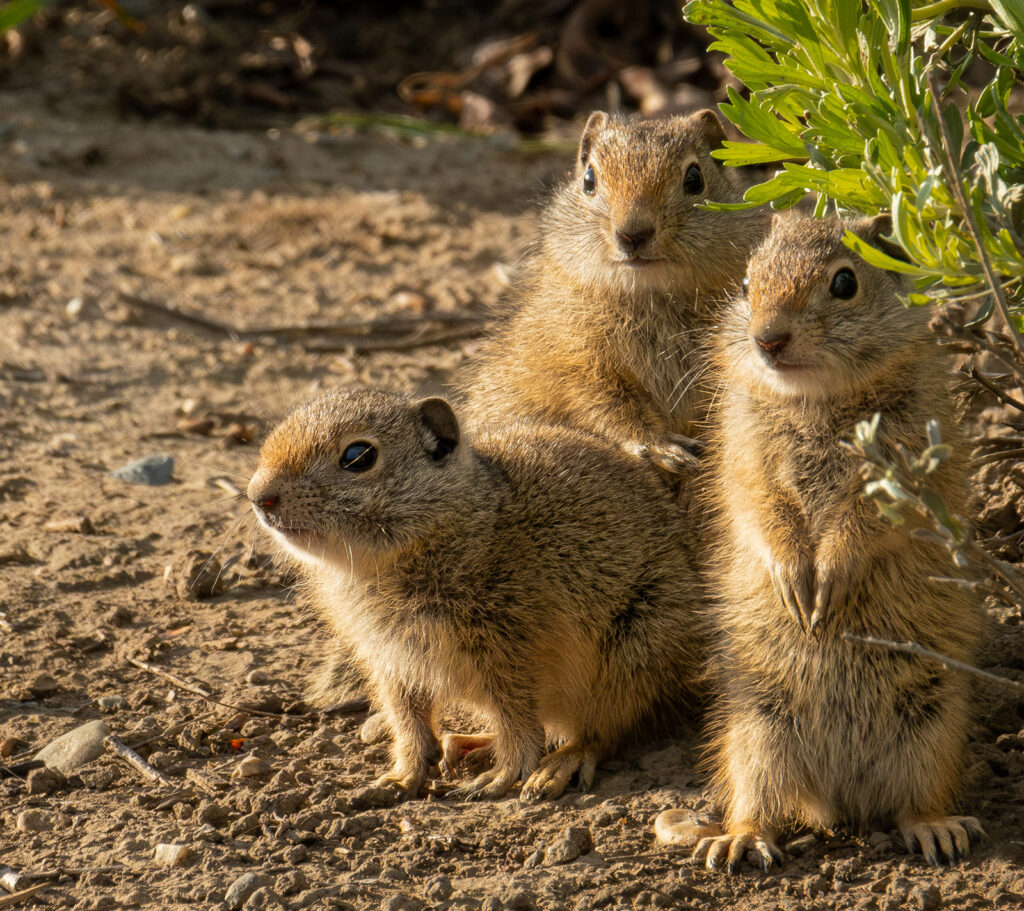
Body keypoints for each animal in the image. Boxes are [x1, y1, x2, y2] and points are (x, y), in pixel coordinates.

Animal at [248, 387, 705, 800]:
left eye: (358, 457)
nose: (259, 497)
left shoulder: (510, 653)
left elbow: (519, 721)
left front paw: (503, 776)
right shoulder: (392, 661)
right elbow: (409, 724)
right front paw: (399, 778)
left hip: (631, 657)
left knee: (601, 731)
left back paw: (555, 766)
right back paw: (471, 742)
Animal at [458, 108, 770, 471]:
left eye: (695, 179)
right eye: (589, 179)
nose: (632, 234)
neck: (651, 298)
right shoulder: (572, 361)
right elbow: (603, 406)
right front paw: (663, 448)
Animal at [655, 214, 985, 870]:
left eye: (844, 282)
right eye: (748, 281)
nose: (768, 340)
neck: (815, 401)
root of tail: (840, 798)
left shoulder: (904, 463)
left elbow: (863, 521)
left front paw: (828, 581)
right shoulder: (745, 456)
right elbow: (762, 508)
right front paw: (795, 584)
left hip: (932, 721)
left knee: (914, 804)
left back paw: (938, 831)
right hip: (755, 727)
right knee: (760, 803)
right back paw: (739, 840)